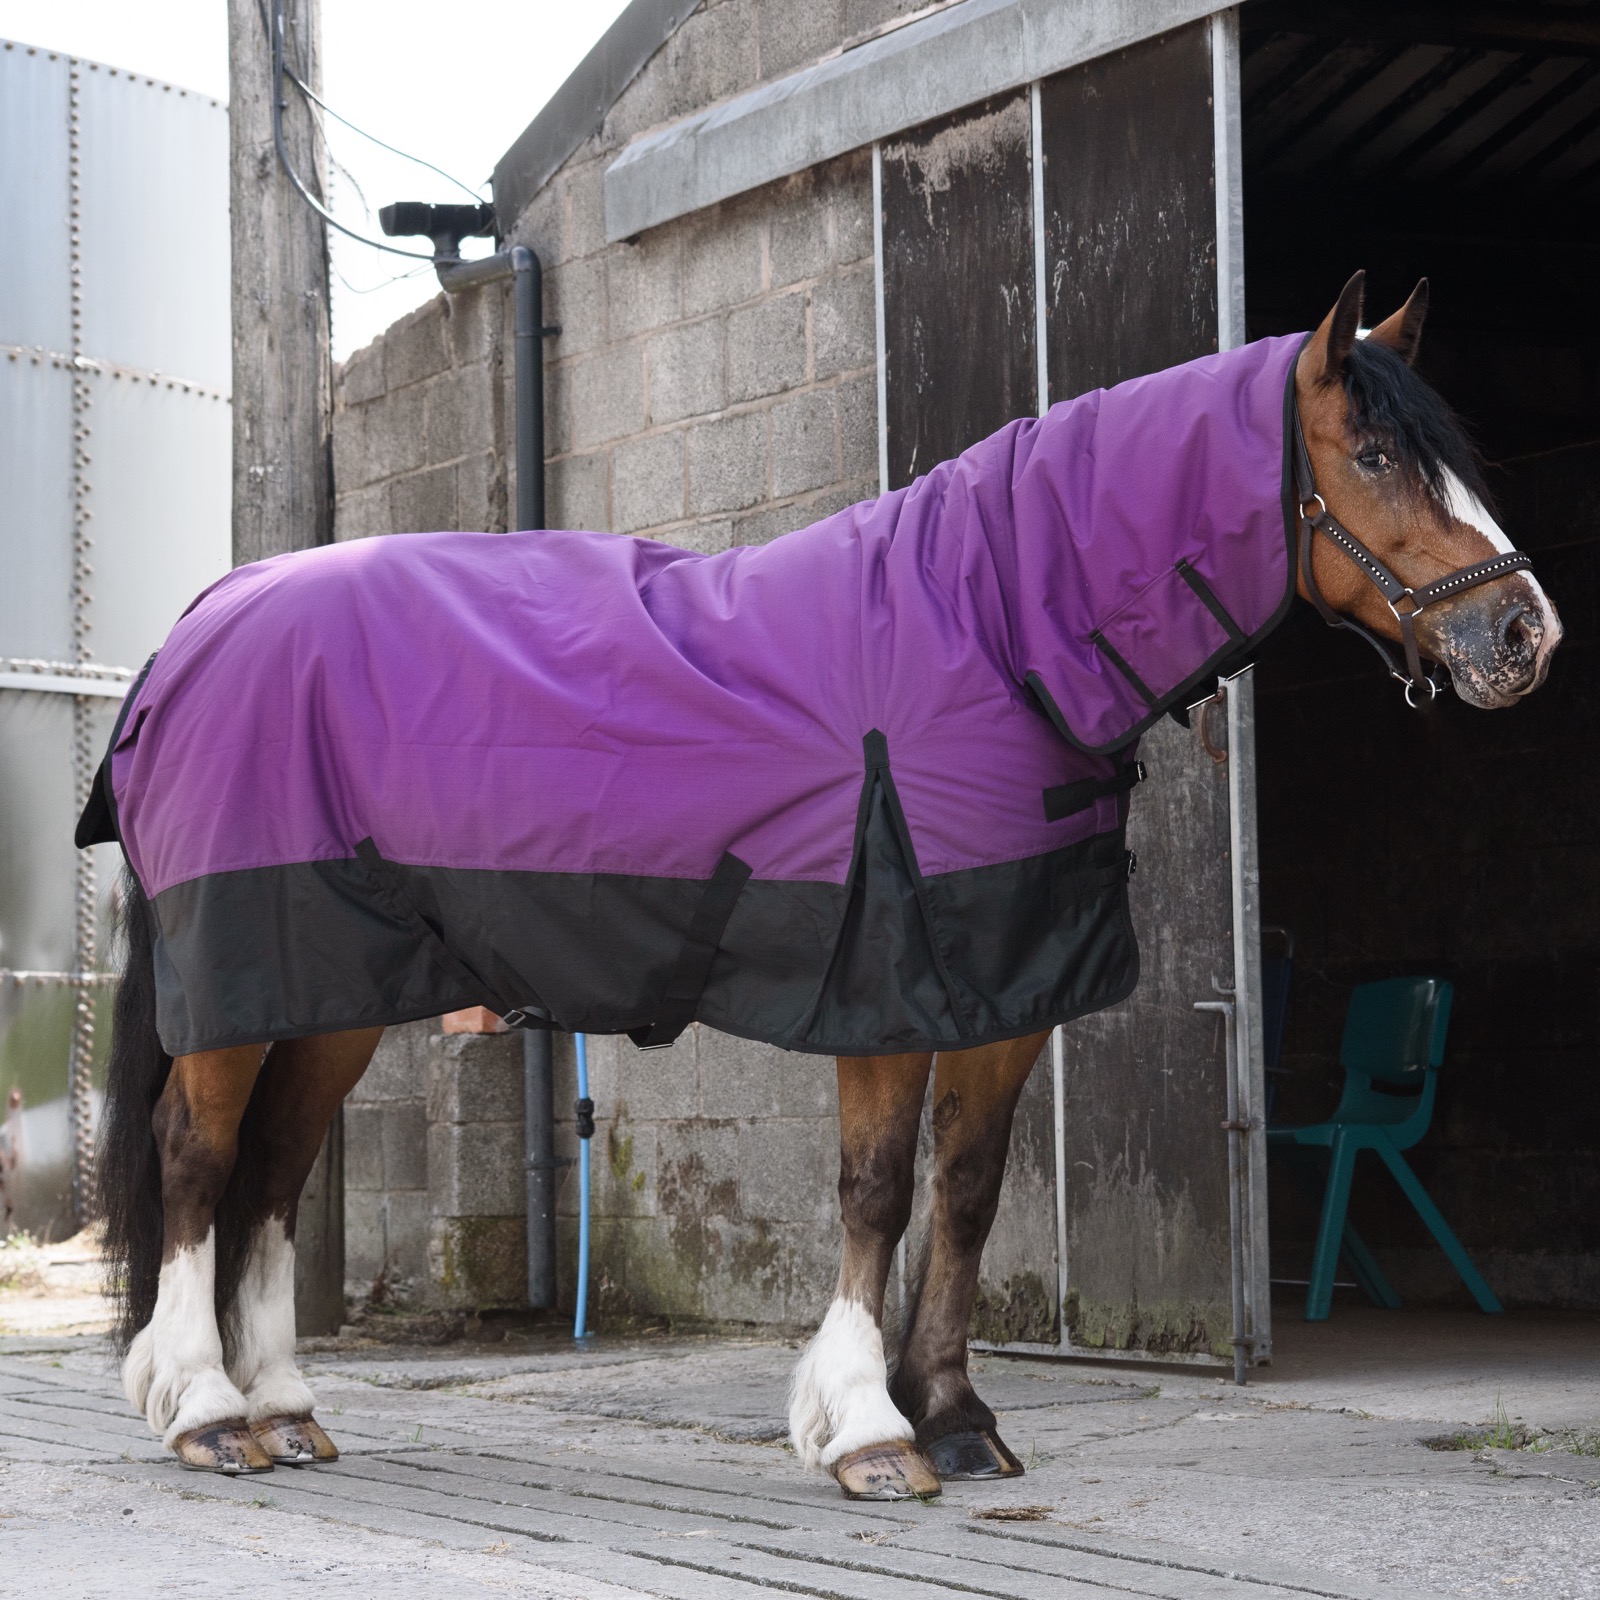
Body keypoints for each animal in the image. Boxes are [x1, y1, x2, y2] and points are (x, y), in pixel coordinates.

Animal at [84, 273, 1559, 1493]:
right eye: (1373, 455)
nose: (1524, 634)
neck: (994, 633)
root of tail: (196, 629)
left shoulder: (1003, 993)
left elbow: (966, 1194)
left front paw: (957, 1420)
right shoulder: (886, 988)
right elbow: (877, 1195)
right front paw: (867, 1430)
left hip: (328, 989)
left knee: (270, 1175)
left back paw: (284, 1410)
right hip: (246, 978)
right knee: (199, 1157)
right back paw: (205, 1409)